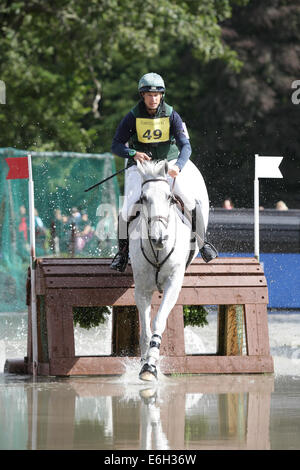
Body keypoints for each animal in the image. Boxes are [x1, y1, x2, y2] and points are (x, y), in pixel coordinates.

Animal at [128, 160, 200, 380]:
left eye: (169, 197)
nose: (159, 238)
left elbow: (158, 322)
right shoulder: (142, 290)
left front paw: (150, 365)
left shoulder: (173, 285)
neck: (158, 252)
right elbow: (145, 329)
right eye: (144, 198)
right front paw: (144, 361)